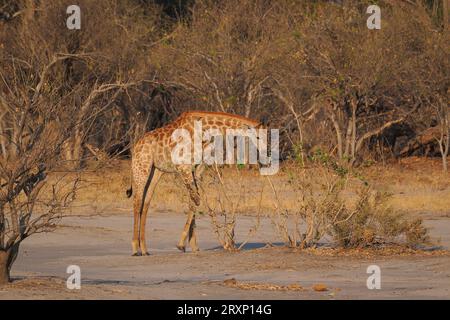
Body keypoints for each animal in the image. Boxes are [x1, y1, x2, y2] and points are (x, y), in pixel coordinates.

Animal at [125, 110, 260, 255]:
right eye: (259, 136)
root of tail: (136, 146)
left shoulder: (197, 169)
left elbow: (194, 201)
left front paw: (192, 246)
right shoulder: (183, 167)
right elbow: (196, 200)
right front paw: (182, 244)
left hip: (155, 171)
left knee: (146, 202)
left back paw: (144, 249)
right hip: (141, 168)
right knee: (137, 202)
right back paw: (135, 248)